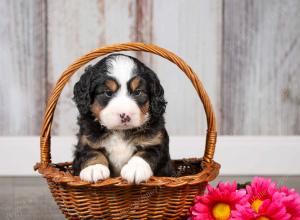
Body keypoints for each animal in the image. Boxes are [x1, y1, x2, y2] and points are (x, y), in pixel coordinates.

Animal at [71, 53, 173, 184]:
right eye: (108, 93)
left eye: (138, 92)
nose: (125, 115)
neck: (120, 132)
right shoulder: (86, 141)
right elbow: (91, 153)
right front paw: (94, 168)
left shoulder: (156, 142)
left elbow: (145, 154)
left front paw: (135, 169)